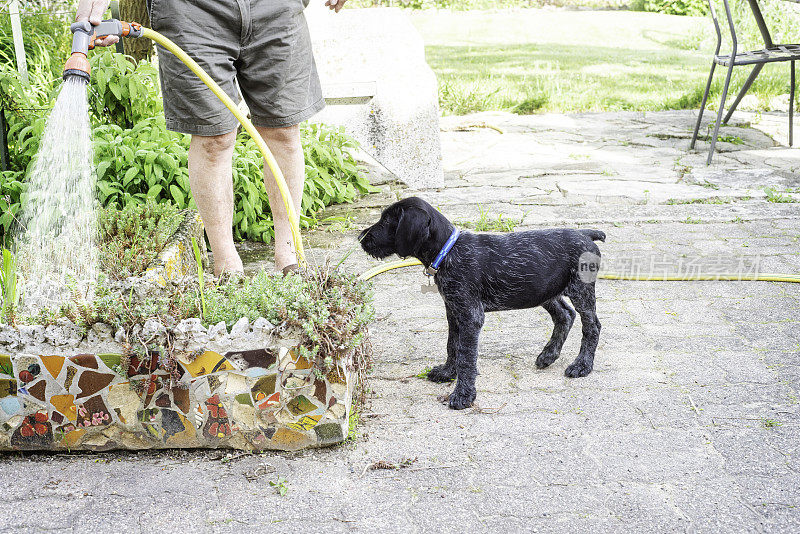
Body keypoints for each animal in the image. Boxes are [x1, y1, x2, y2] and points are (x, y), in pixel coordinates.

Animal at [360, 197, 604, 410]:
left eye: (387, 221)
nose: (361, 239)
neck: (448, 251)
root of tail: (585, 234)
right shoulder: (453, 311)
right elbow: (452, 345)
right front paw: (447, 373)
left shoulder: (470, 315)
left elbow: (466, 356)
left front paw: (463, 395)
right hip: (543, 291)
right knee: (565, 315)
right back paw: (548, 355)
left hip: (580, 290)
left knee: (592, 327)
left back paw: (582, 365)